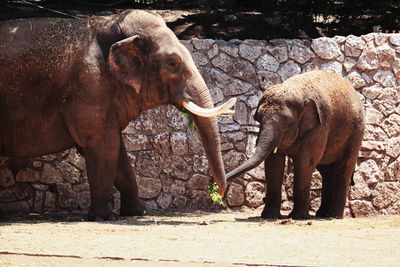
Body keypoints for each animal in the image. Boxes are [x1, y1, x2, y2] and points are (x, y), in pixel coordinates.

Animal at [0, 10, 234, 222]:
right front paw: (102, 217)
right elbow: (105, 147)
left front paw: (137, 213)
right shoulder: (89, 87)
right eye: (172, 63)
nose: (218, 194)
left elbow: (118, 153)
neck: (109, 23)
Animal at [227, 69, 364, 220]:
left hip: (356, 132)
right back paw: (321, 214)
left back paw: (333, 216)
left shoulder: (320, 126)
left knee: (343, 167)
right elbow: (274, 162)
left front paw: (298, 217)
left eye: (287, 123)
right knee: (326, 171)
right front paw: (270, 216)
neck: (297, 89)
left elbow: (304, 162)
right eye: (258, 118)